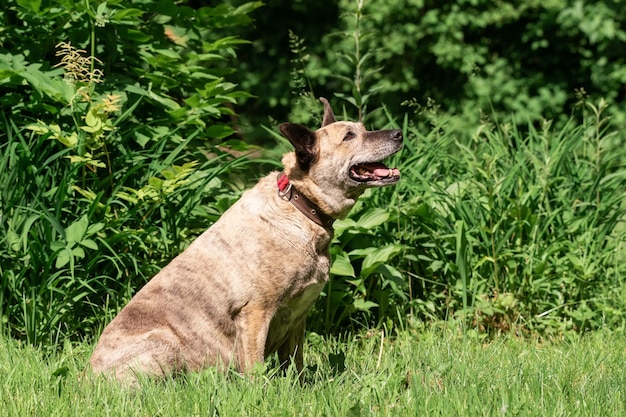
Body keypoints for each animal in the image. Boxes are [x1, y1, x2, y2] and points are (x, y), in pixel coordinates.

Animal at [86, 96, 400, 384]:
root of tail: (88, 381)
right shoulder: (255, 314)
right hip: (164, 345)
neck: (300, 205)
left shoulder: (297, 319)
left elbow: (295, 363)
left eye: (362, 128)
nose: (398, 133)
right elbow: (255, 368)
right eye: (349, 136)